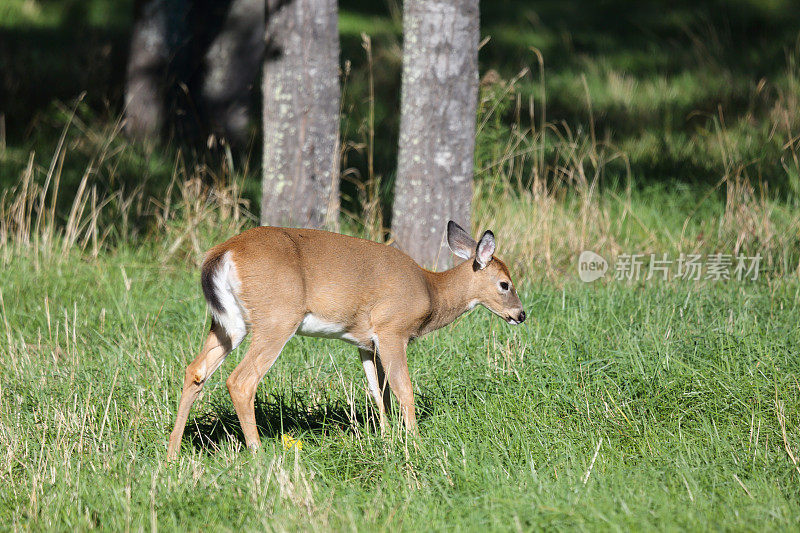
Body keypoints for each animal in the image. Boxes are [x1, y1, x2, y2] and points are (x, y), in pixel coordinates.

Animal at [169, 218, 524, 460]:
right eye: (505, 284)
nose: (520, 315)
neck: (431, 291)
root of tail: (222, 252)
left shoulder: (365, 343)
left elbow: (379, 393)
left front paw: (387, 438)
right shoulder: (392, 329)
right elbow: (404, 390)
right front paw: (415, 443)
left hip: (229, 323)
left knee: (195, 371)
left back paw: (172, 454)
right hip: (277, 317)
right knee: (241, 381)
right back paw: (259, 454)